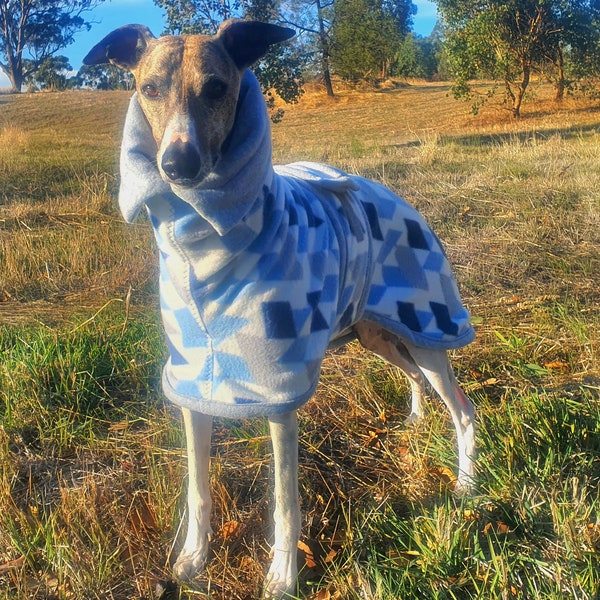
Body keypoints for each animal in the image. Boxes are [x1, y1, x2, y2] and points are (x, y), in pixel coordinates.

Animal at [85, 19, 478, 600]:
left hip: (428, 325)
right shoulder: (191, 386)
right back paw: (413, 418)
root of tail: (396, 197)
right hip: (375, 331)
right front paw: (192, 560)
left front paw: (283, 577)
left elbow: (285, 503)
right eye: (149, 88)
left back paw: (468, 484)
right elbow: (198, 488)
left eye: (217, 88)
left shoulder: (280, 398)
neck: (202, 245)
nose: (177, 165)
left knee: (462, 407)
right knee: (411, 376)